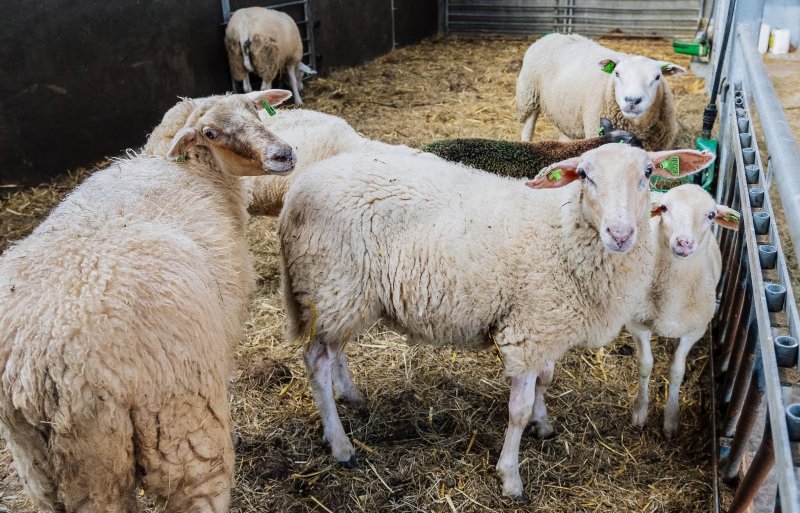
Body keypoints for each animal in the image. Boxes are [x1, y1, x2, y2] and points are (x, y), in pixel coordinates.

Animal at [0, 89, 296, 512]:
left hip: (42, 463)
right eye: (211, 132)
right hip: (178, 426)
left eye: (255, 111)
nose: (284, 154)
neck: (182, 167)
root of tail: (42, 372)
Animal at [276, 141, 712, 496]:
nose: (620, 234)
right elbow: (516, 410)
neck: (564, 231)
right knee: (316, 361)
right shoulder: (529, 330)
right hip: (333, 284)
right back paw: (340, 444)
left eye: (648, 172)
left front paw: (543, 424)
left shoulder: (546, 324)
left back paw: (351, 395)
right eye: (585, 175)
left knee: (335, 349)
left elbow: (545, 380)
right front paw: (511, 476)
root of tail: (298, 189)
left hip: (344, 296)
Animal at [516, 33, 684, 150]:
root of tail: (555, 34)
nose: (632, 100)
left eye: (657, 77)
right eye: (617, 73)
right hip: (529, 93)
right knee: (529, 122)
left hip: (566, 112)